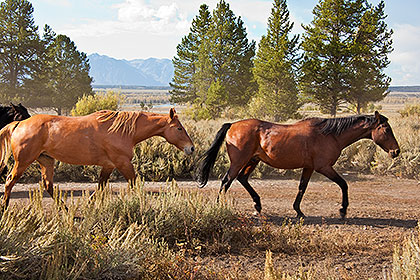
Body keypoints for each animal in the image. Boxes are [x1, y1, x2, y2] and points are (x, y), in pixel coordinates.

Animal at [0, 107, 194, 208]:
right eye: (179, 128)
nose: (191, 148)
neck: (123, 131)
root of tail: (18, 124)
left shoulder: (109, 165)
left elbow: (100, 186)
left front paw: (89, 204)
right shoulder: (123, 163)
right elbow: (135, 184)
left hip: (46, 160)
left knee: (48, 185)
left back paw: (65, 208)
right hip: (23, 161)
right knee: (9, 181)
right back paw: (5, 206)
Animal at [198, 111, 400, 219]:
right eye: (386, 129)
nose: (396, 151)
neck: (330, 135)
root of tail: (233, 125)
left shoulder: (309, 167)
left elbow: (302, 187)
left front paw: (298, 210)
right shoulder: (323, 167)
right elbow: (343, 184)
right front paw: (343, 210)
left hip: (252, 160)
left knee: (242, 179)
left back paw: (258, 205)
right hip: (239, 161)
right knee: (226, 181)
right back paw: (220, 207)